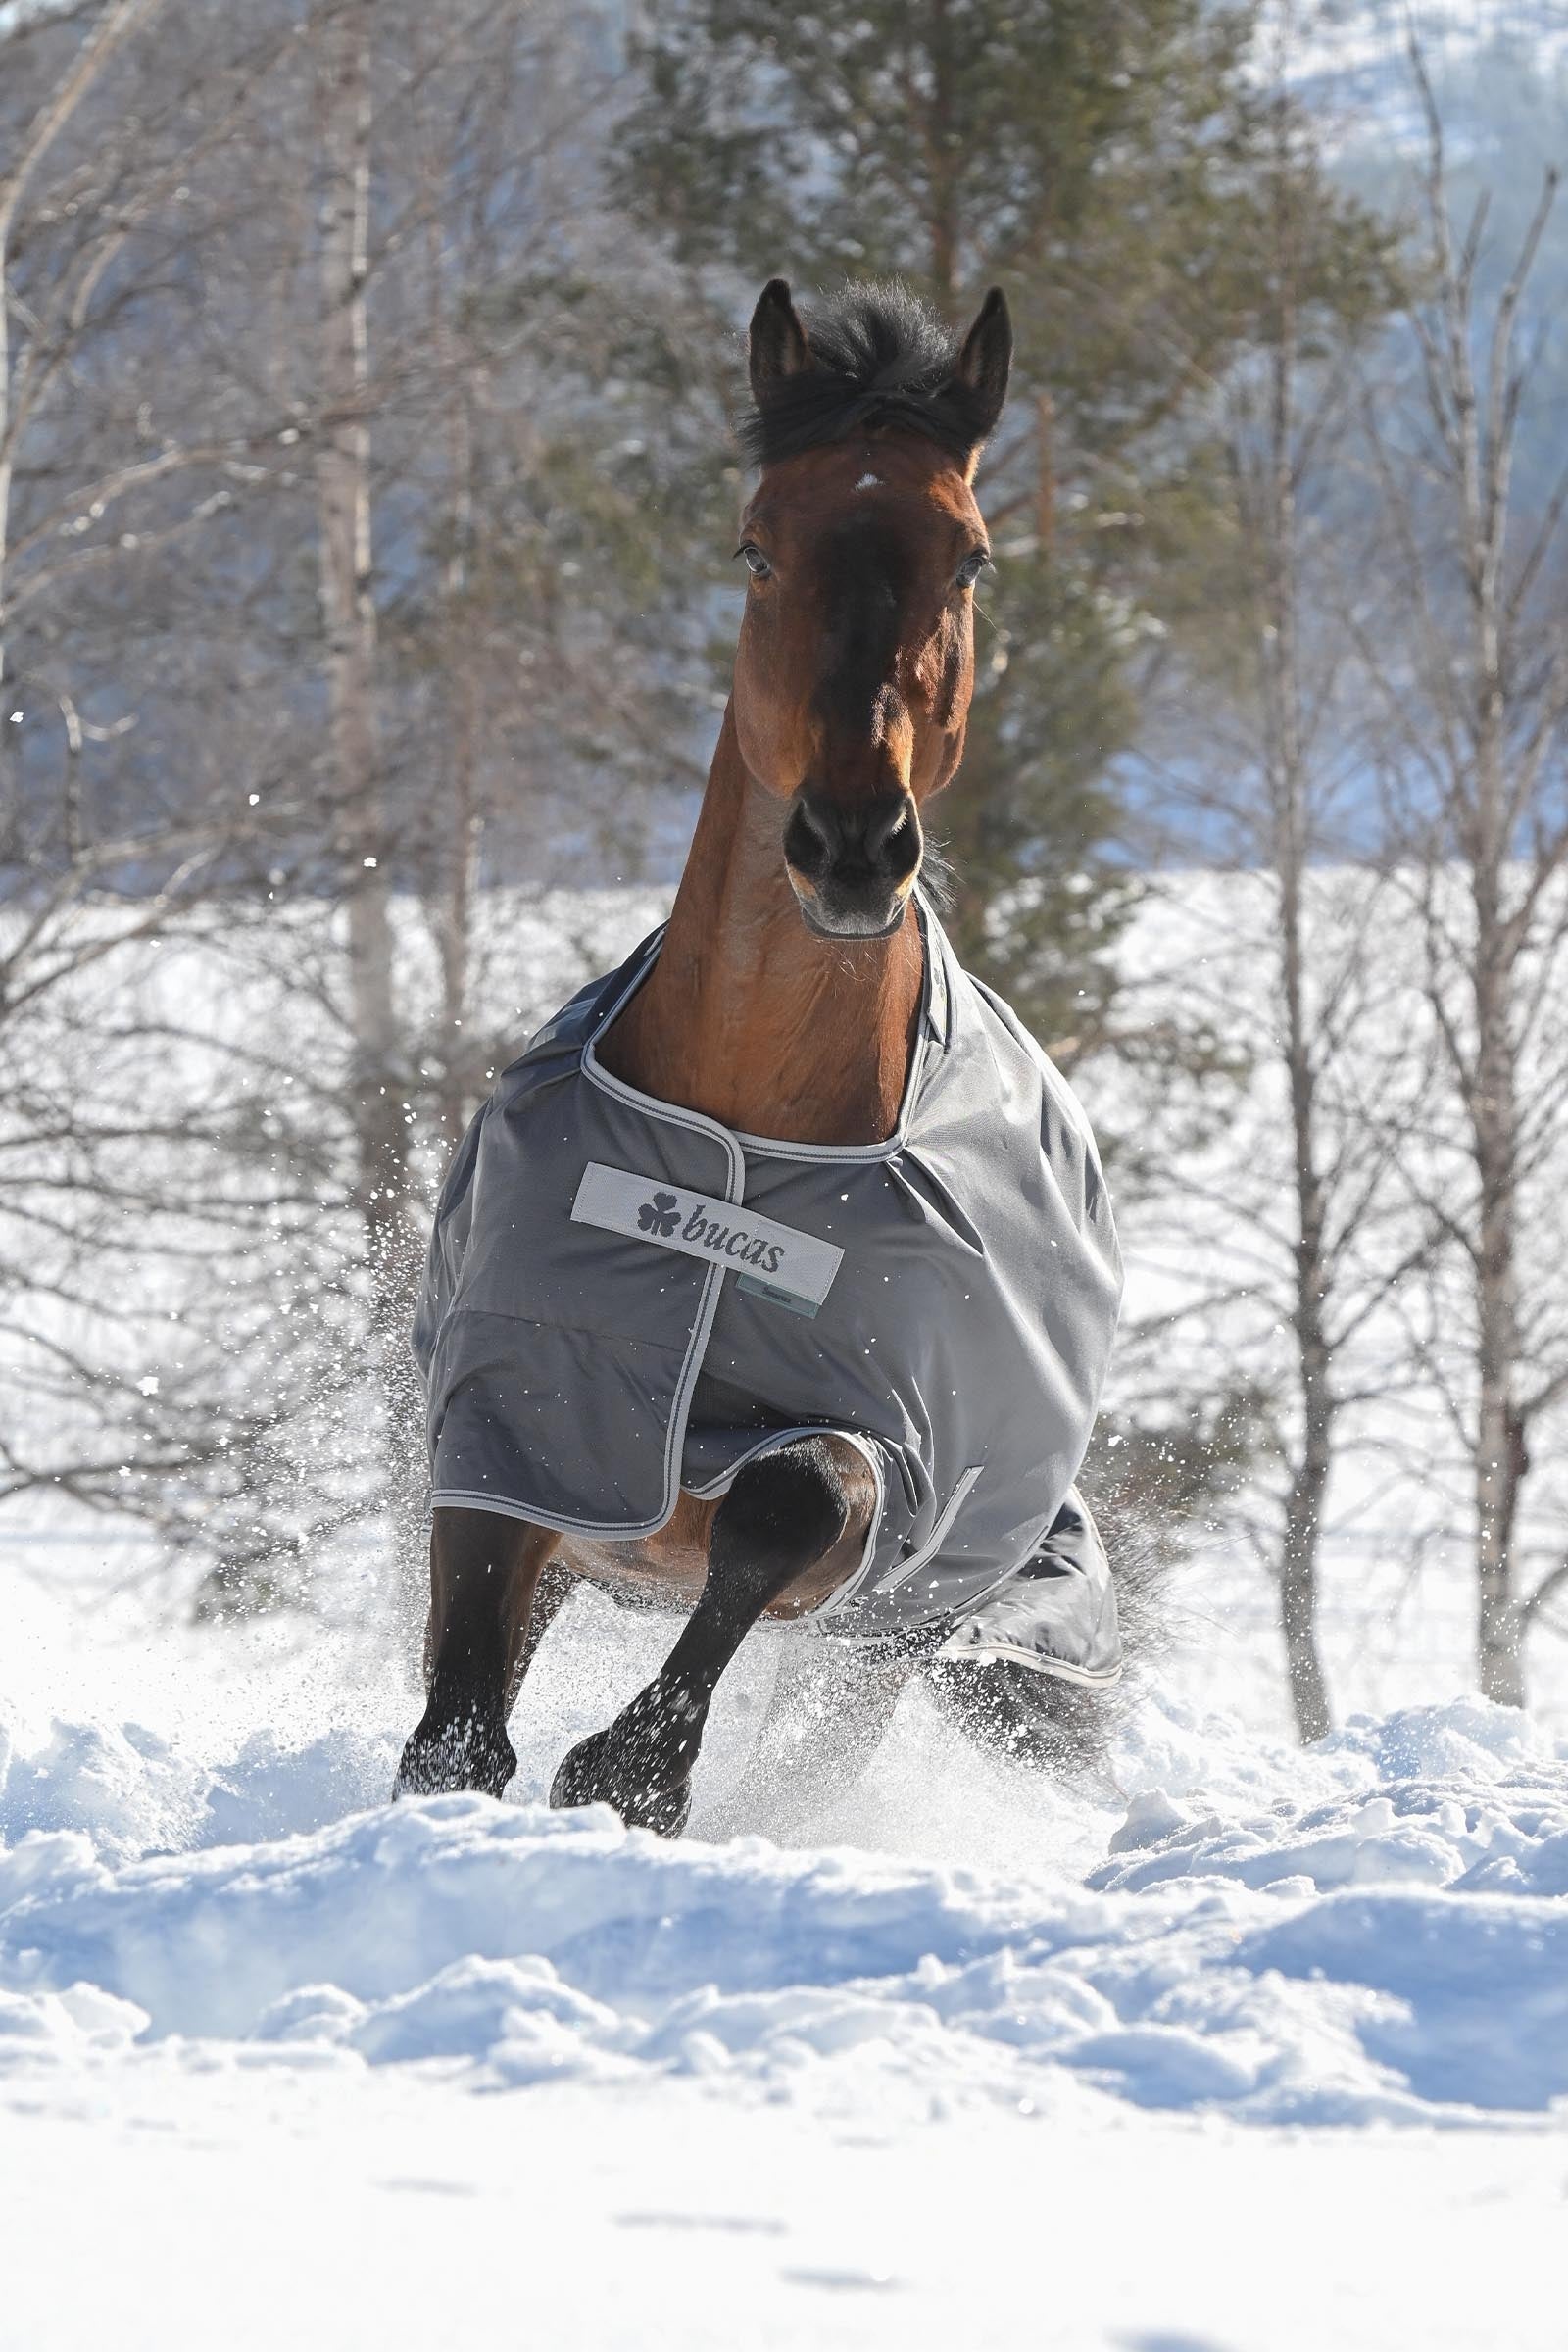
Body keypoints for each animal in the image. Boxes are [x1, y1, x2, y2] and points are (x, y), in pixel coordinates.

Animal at [396, 279, 1125, 1833]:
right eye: (756, 545)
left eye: (969, 558)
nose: (852, 842)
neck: (743, 1130)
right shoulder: (517, 1422)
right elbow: (458, 1720)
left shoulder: (895, 1458)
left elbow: (793, 1497)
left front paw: (631, 1772)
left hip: (911, 1621)